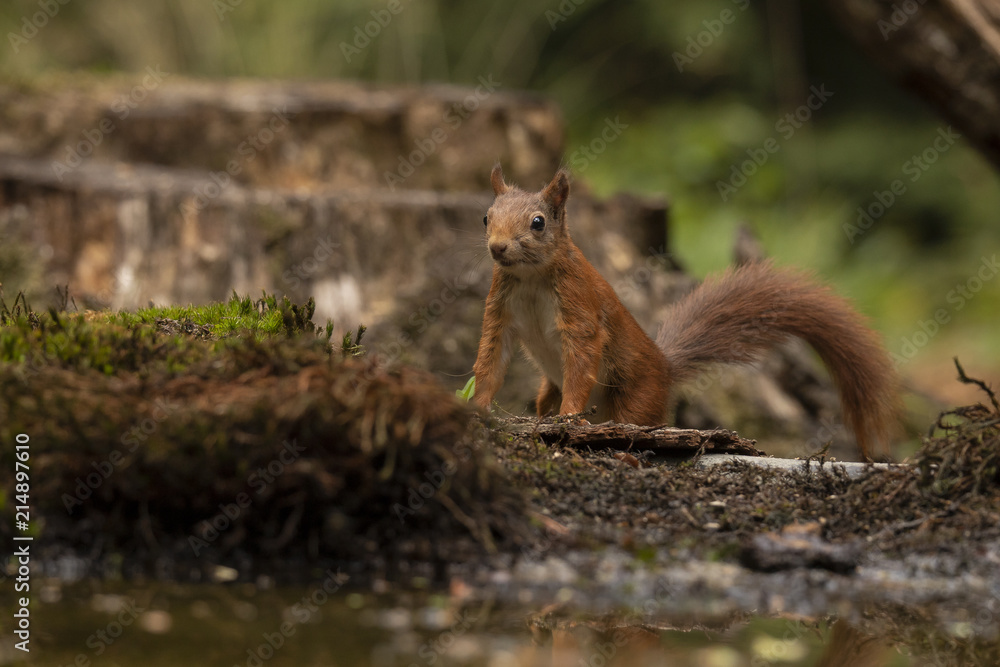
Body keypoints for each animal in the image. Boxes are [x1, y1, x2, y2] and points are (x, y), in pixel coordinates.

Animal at [472, 166, 904, 460]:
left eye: (538, 222)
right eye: (486, 217)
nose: (497, 248)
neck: (530, 277)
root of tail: (664, 368)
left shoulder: (580, 309)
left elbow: (581, 362)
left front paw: (568, 418)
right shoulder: (500, 312)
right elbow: (491, 360)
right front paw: (478, 407)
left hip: (635, 398)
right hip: (550, 385)